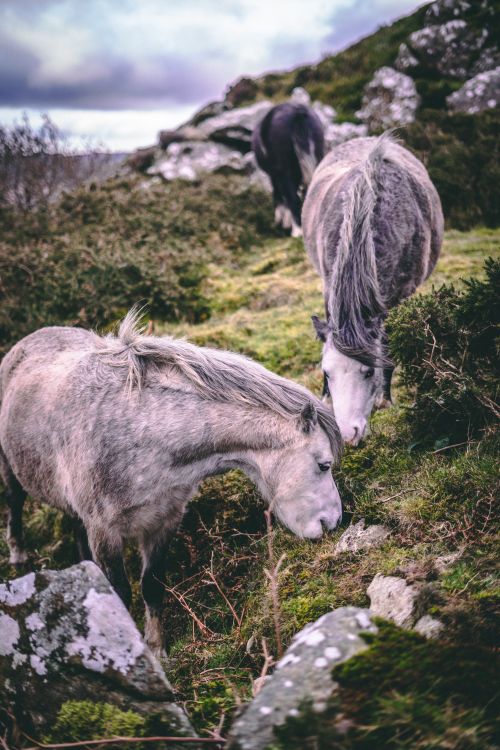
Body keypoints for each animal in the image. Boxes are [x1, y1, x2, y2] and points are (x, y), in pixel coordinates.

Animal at [0, 311, 342, 655]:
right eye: (324, 465)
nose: (333, 522)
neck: (140, 433)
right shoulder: (104, 530)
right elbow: (119, 594)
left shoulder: (163, 521)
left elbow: (152, 585)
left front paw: (156, 649)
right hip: (11, 471)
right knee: (14, 503)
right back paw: (18, 556)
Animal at [252, 102, 324, 237]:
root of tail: (297, 112)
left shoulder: (277, 175)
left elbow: (280, 195)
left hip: (285, 169)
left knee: (292, 197)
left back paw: (297, 231)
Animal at [302, 133, 443, 446]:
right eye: (326, 373)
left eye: (368, 372)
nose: (347, 435)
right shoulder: (328, 287)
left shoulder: (402, 298)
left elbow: (389, 348)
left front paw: (385, 400)